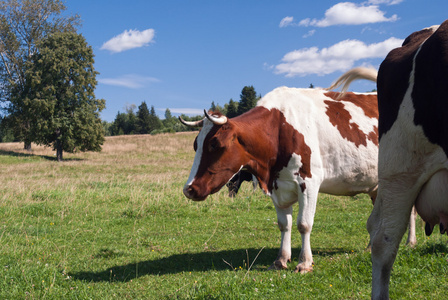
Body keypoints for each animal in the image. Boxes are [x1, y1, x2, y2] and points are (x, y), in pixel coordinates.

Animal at [178, 72, 378, 272]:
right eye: (195, 145)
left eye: (214, 144)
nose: (189, 189)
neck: (278, 128)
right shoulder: (277, 186)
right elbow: (284, 225)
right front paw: (281, 260)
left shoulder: (309, 183)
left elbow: (304, 224)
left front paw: (304, 262)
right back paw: (371, 247)